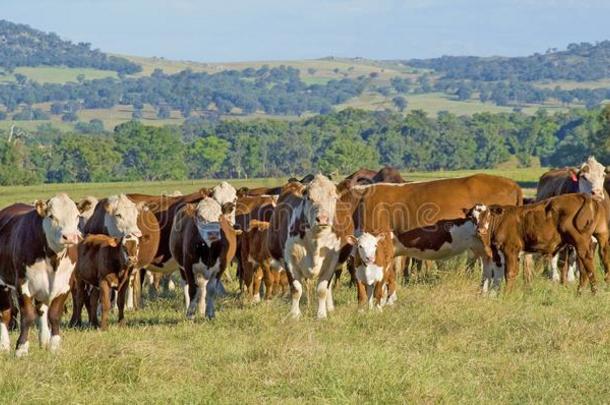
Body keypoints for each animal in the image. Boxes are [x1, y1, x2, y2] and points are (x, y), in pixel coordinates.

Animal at [466, 193, 608, 292]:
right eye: (473, 217)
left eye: (488, 215)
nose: (480, 230)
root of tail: (582, 195)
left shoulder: (510, 249)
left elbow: (509, 273)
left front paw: (507, 294)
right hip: (600, 236)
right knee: (600, 258)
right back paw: (582, 291)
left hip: (580, 240)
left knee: (587, 261)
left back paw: (594, 291)